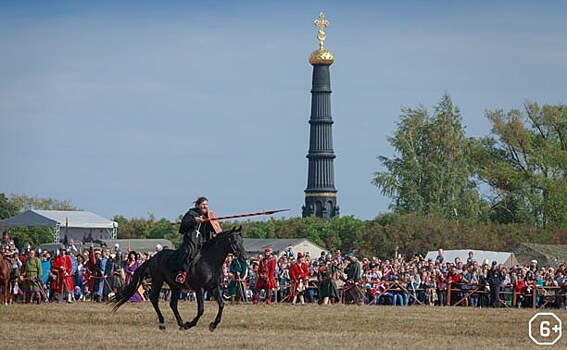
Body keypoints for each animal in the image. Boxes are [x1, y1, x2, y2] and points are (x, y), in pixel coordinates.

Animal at [112, 227, 246, 330]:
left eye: (242, 240)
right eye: (234, 240)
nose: (244, 257)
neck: (209, 262)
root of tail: (153, 258)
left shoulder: (214, 288)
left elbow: (221, 305)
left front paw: (213, 325)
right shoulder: (199, 289)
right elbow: (201, 309)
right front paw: (190, 324)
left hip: (175, 286)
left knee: (172, 304)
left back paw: (180, 323)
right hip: (158, 281)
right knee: (154, 299)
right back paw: (163, 323)